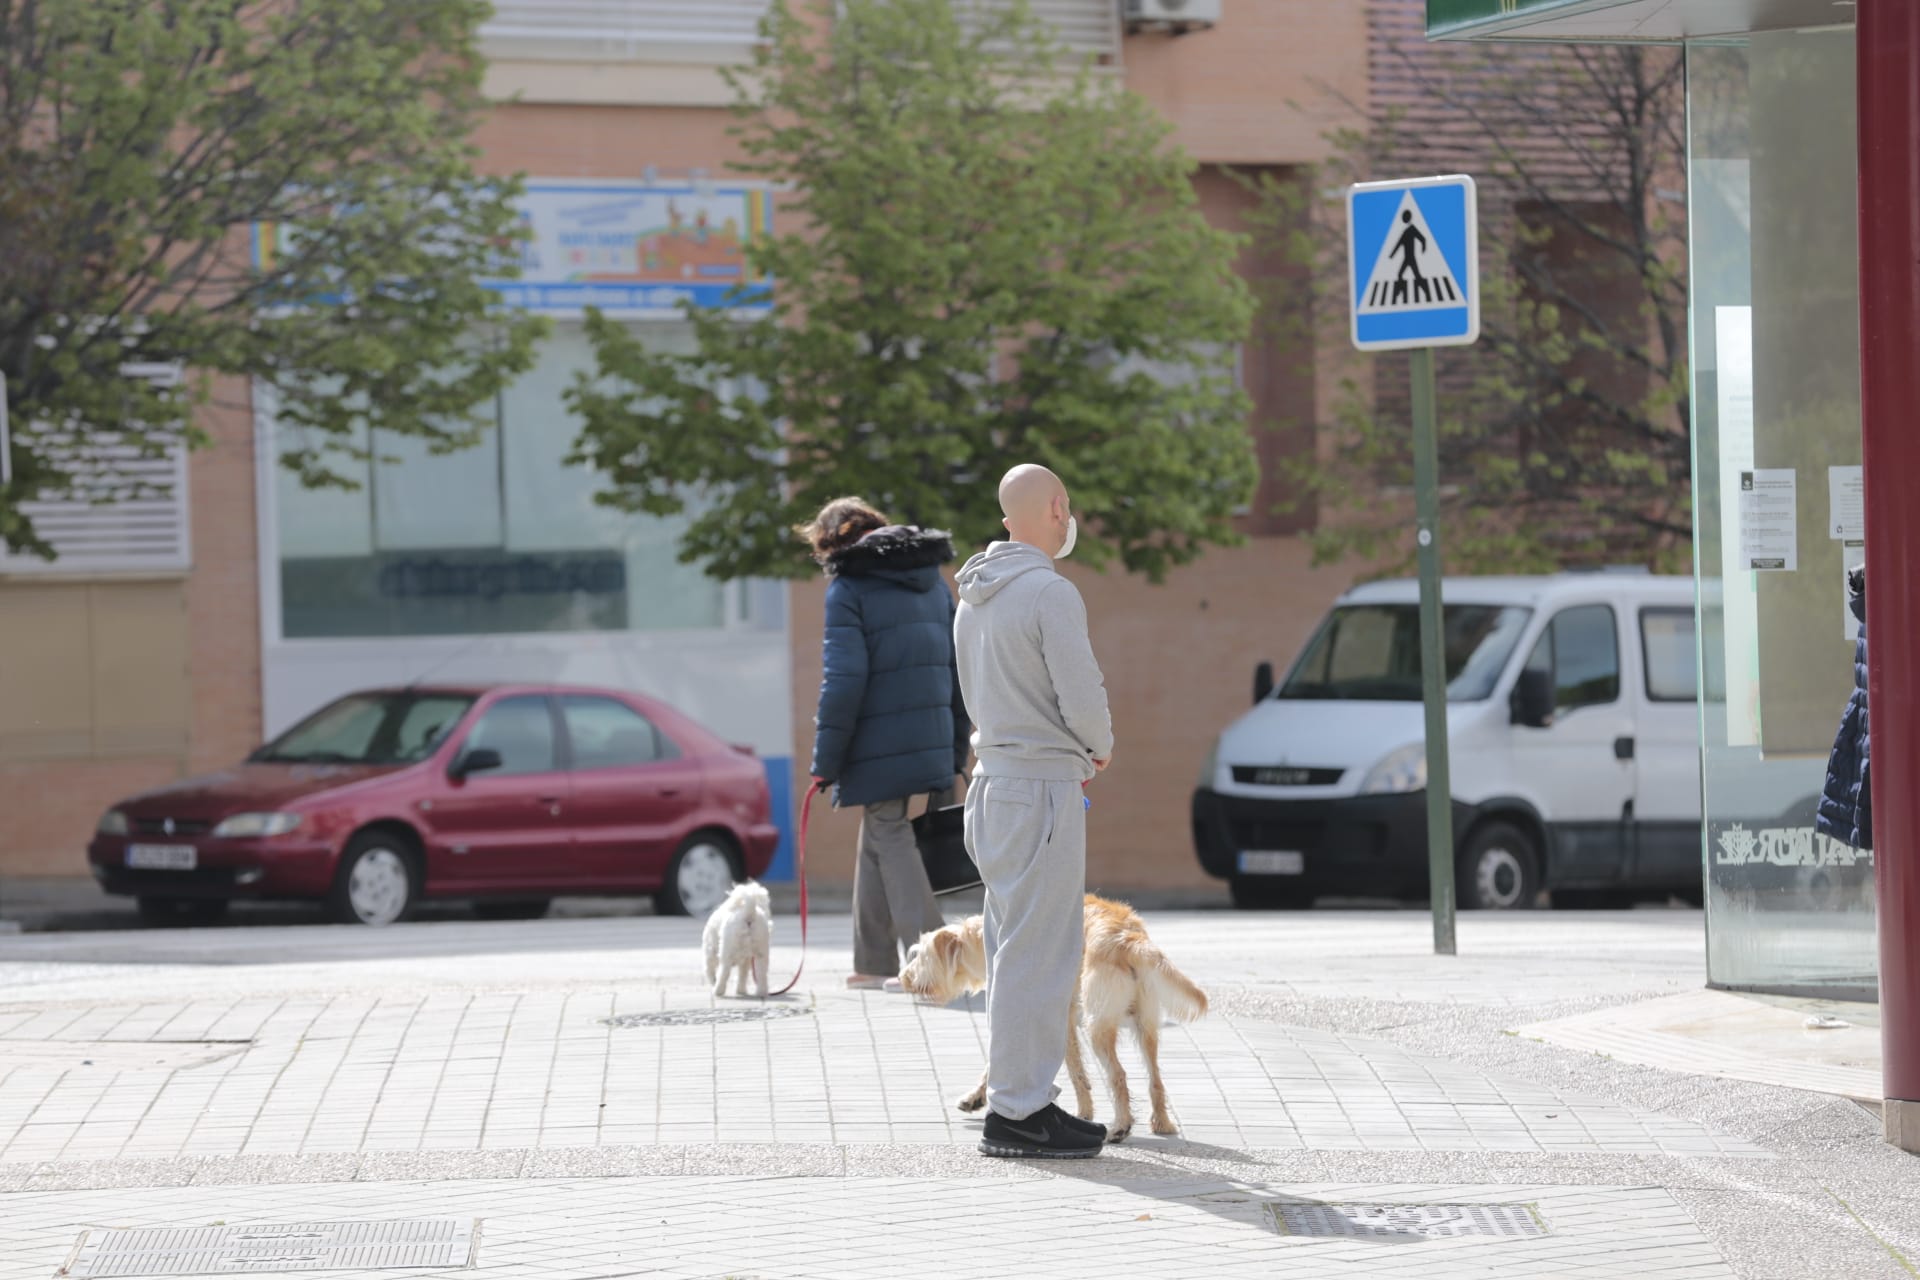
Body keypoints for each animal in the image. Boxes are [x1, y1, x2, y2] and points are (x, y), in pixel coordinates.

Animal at [894, 890, 1198, 1143]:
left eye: (919, 956)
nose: (902, 977)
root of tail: (1129, 938)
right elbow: (1075, 1071)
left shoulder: (1042, 1013)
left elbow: (1064, 1069)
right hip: (1145, 1026)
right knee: (1155, 1079)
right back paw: (1161, 1123)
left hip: (1098, 1028)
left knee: (1119, 1076)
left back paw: (1120, 1127)